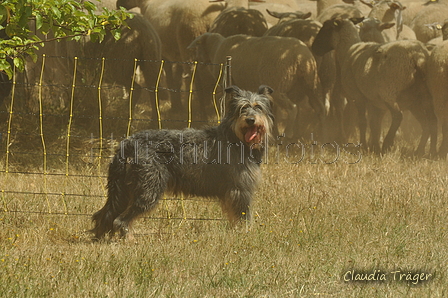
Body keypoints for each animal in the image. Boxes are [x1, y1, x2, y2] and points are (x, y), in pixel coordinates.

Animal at [90, 84, 272, 240]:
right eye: (243, 108)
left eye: (258, 107)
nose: (250, 120)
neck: (235, 137)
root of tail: (128, 142)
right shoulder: (240, 190)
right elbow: (243, 217)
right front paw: (245, 235)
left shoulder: (234, 192)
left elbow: (234, 217)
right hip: (148, 190)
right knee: (120, 220)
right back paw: (128, 239)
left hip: (123, 190)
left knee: (104, 215)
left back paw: (100, 238)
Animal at [314, 17, 436, 155]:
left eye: (327, 28)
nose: (314, 48)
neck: (348, 50)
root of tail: (417, 58)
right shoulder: (374, 101)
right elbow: (374, 123)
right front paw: (374, 146)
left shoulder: (358, 96)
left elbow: (363, 122)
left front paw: (364, 145)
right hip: (419, 99)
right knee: (430, 123)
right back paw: (424, 151)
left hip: (389, 91)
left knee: (398, 116)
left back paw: (388, 144)